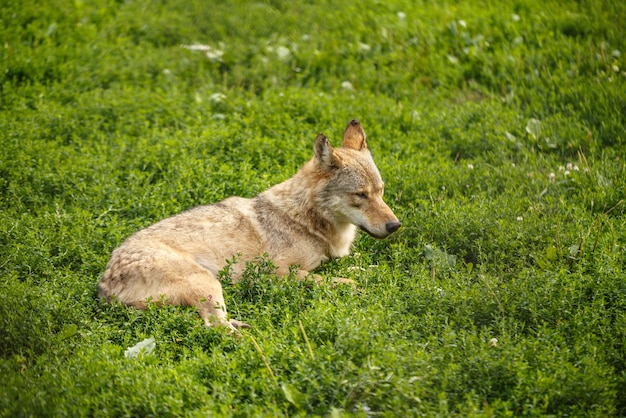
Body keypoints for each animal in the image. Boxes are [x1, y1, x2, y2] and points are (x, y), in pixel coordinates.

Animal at [97, 119, 400, 332]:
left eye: (381, 191)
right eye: (361, 195)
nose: (395, 225)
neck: (305, 218)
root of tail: (104, 286)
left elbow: (358, 269)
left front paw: (373, 273)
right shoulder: (275, 273)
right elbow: (345, 281)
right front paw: (358, 285)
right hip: (210, 285)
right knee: (215, 328)